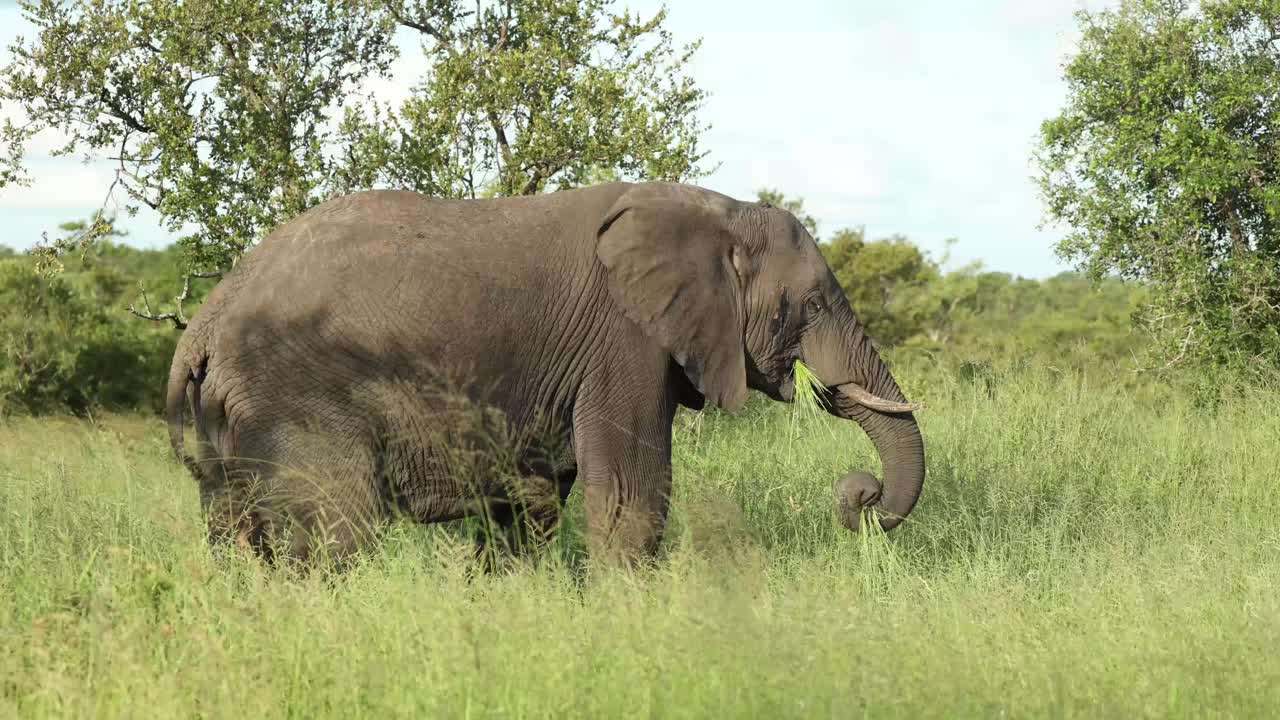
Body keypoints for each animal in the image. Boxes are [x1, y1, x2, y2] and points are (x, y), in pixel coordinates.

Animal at [165, 181, 925, 565]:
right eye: (813, 304)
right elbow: (629, 497)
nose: (859, 495)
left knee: (235, 534)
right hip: (295, 395)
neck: (719, 211)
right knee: (336, 534)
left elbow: (526, 508)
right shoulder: (623, 341)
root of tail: (202, 323)